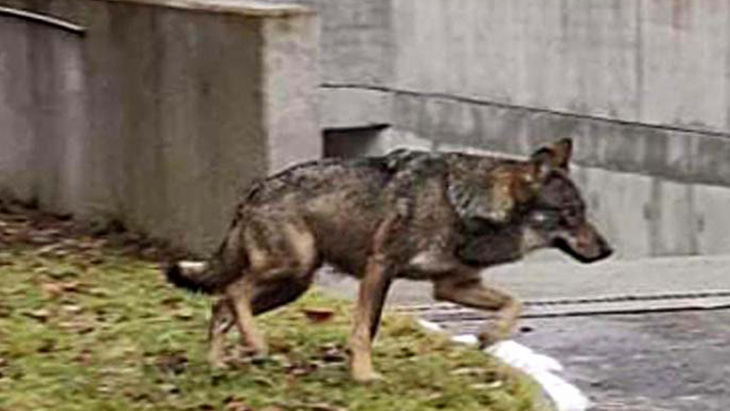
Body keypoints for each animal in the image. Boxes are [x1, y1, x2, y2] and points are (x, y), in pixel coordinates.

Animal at [165, 138, 612, 382]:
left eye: (584, 211)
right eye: (570, 214)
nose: (608, 251)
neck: (464, 207)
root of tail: (253, 190)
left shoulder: (452, 286)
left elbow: (514, 304)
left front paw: (488, 337)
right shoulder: (381, 267)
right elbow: (365, 330)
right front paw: (364, 376)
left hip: (293, 285)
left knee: (220, 304)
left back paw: (220, 364)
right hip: (290, 271)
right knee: (232, 292)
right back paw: (254, 345)